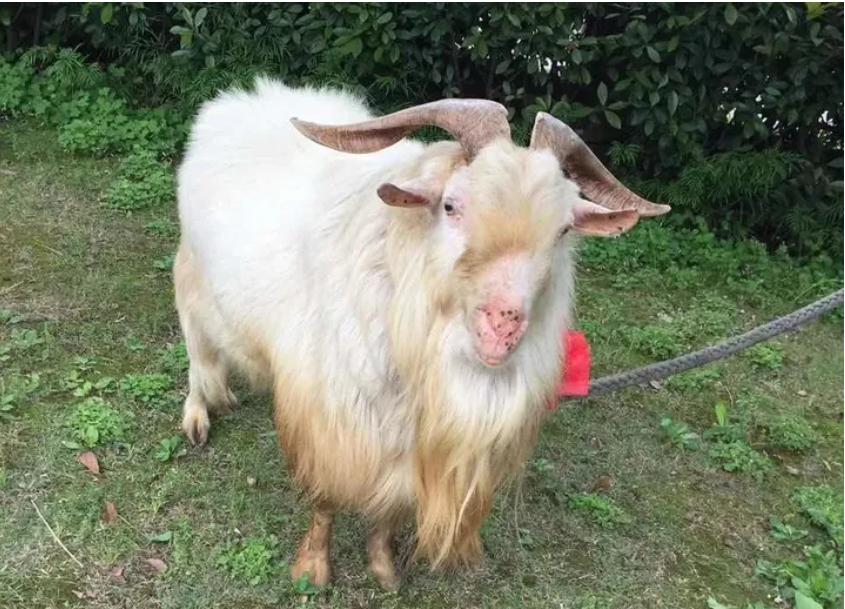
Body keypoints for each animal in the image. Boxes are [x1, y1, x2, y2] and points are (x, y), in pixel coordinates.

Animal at [174, 78, 670, 589]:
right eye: (451, 205)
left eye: (564, 230)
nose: (502, 324)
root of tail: (240, 98)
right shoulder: (329, 416)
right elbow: (326, 498)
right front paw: (312, 569)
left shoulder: (409, 443)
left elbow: (391, 508)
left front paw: (384, 569)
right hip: (192, 280)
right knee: (197, 351)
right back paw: (198, 416)